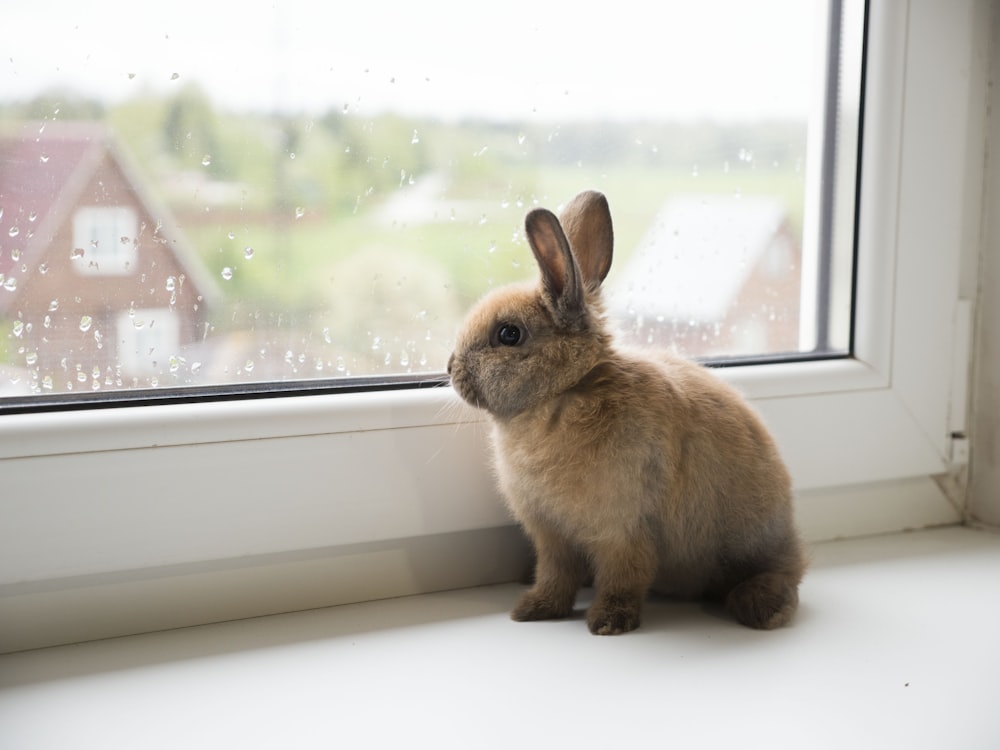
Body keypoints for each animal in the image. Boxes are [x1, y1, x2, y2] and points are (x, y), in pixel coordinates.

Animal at [450, 192, 808, 636]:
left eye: (509, 334)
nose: (450, 369)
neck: (567, 390)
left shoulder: (623, 530)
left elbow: (625, 576)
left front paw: (608, 622)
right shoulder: (552, 537)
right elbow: (555, 576)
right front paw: (533, 609)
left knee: (785, 574)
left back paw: (762, 608)